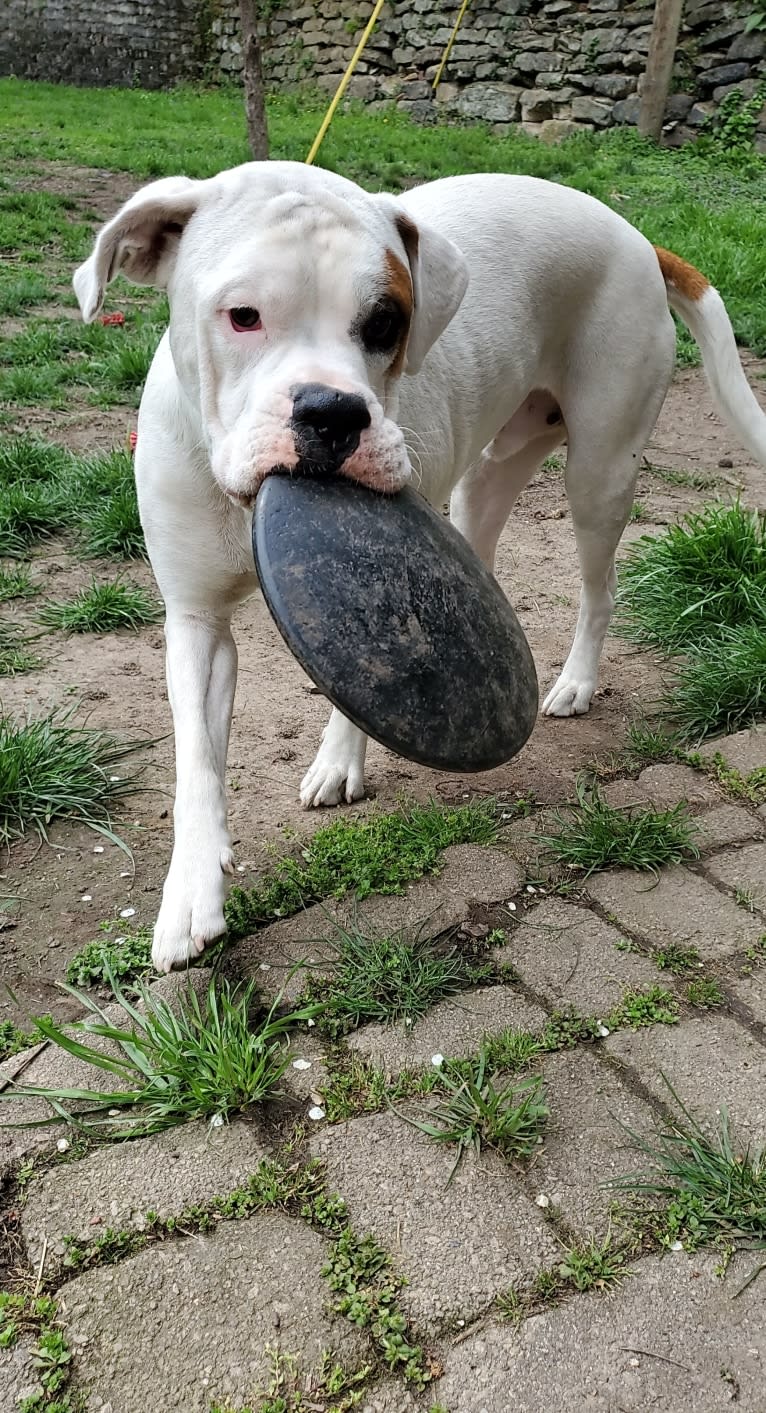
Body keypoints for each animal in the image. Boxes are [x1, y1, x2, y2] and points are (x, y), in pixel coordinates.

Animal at [74, 157, 766, 972]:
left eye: (385, 324)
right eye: (242, 315)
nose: (333, 412)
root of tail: (633, 236)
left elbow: (360, 684)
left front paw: (340, 761)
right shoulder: (196, 619)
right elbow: (199, 764)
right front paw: (190, 895)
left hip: (600, 471)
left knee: (600, 590)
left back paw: (574, 683)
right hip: (489, 477)